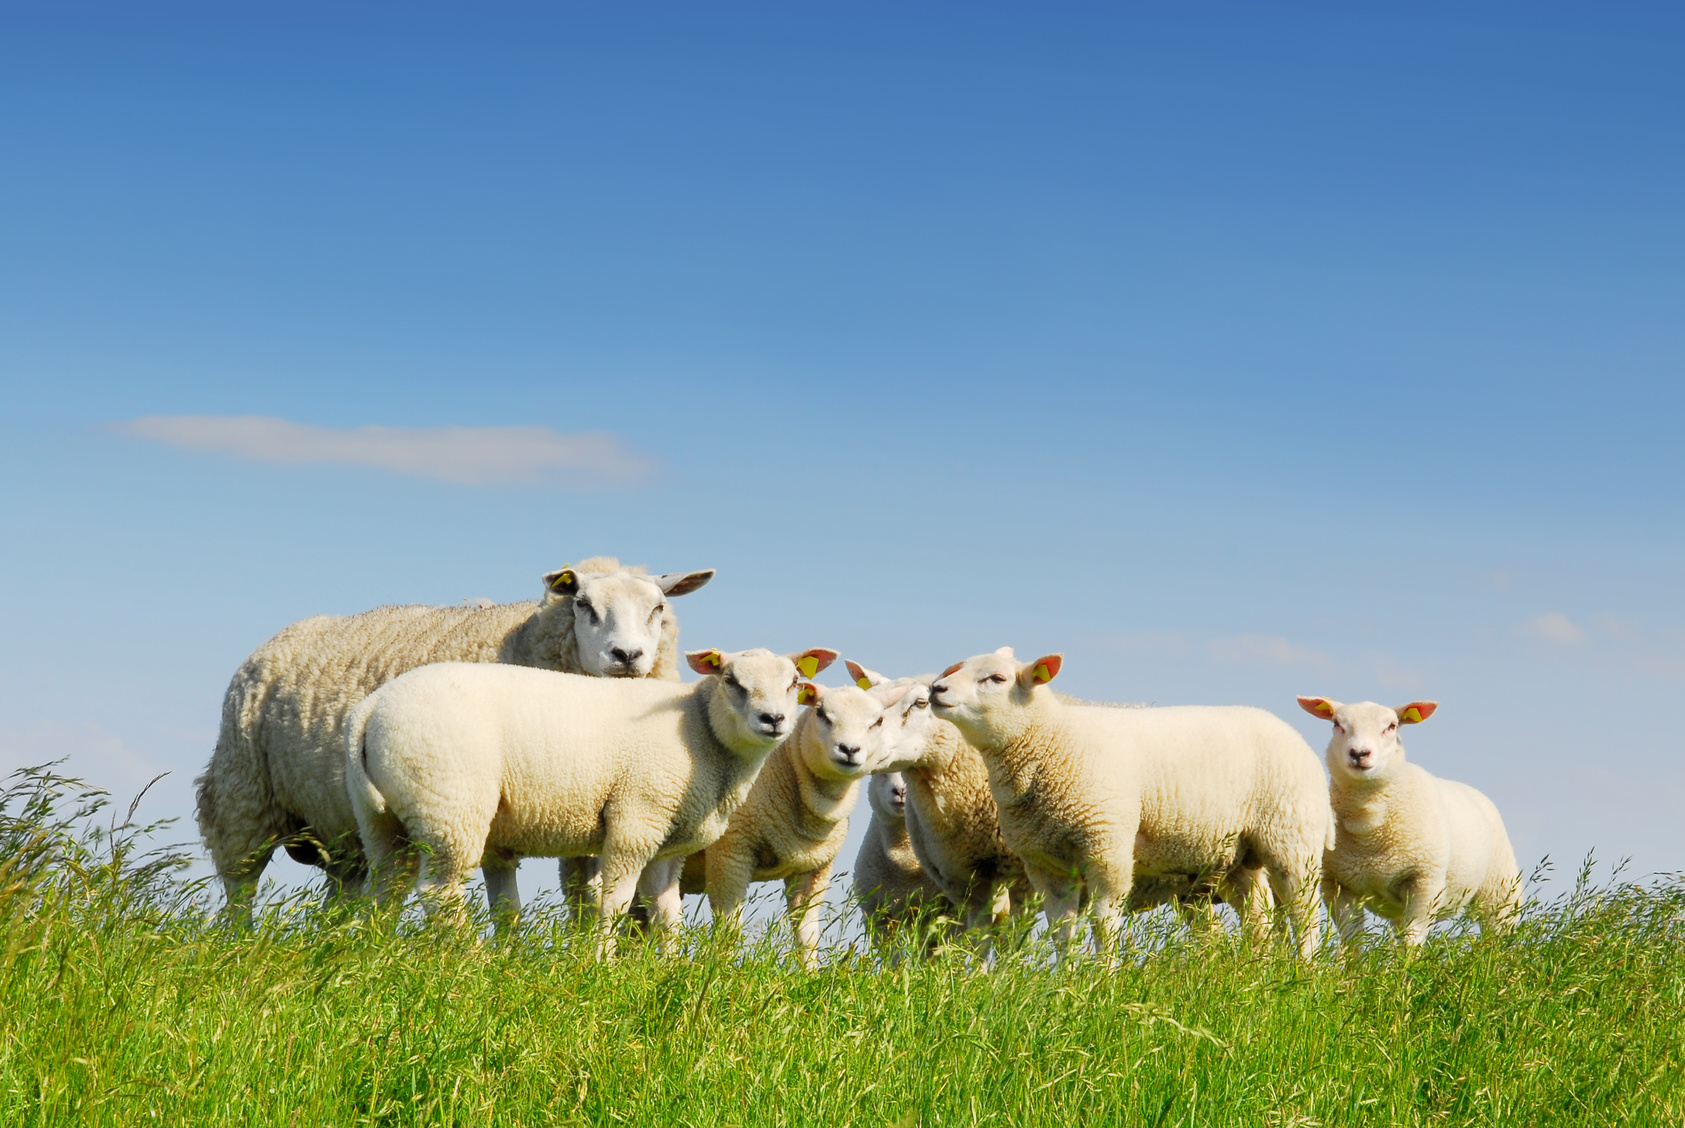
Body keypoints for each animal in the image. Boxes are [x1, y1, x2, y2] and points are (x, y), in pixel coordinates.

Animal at [194, 556, 714, 923]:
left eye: (658, 608)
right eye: (583, 605)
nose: (627, 655)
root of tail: (282, 636)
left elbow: (580, 898)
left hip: (344, 829)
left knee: (348, 893)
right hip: (244, 796)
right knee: (240, 887)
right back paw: (243, 944)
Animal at [346, 646, 839, 949]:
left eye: (795, 682)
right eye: (731, 680)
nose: (773, 719)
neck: (701, 729)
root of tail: (371, 709)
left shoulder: (667, 840)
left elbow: (666, 911)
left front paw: (670, 967)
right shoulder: (635, 819)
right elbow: (614, 902)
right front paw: (601, 963)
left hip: (384, 819)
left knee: (384, 889)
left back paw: (369, 959)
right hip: (449, 806)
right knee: (438, 893)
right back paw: (473, 960)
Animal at [674, 681, 927, 969]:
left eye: (878, 721)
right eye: (821, 714)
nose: (849, 750)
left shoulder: (814, 868)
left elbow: (806, 933)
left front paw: (809, 973)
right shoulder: (731, 852)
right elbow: (729, 925)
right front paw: (720, 969)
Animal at [930, 648, 1327, 961]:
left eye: (997, 678)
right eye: (957, 668)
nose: (936, 689)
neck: (1053, 741)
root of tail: (1289, 730)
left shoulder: (1107, 845)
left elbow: (1103, 921)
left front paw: (1104, 978)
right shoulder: (1045, 863)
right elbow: (1061, 930)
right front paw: (1065, 981)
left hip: (1293, 839)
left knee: (1302, 911)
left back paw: (1304, 971)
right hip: (1236, 855)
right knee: (1260, 916)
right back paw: (1255, 970)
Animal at [1297, 697, 1522, 945]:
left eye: (1391, 726)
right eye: (1337, 724)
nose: (1359, 753)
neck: (1368, 829)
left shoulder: (1425, 881)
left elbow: (1412, 937)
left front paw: (1410, 957)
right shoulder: (1337, 884)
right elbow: (1353, 938)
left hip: (1500, 890)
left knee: (1497, 933)